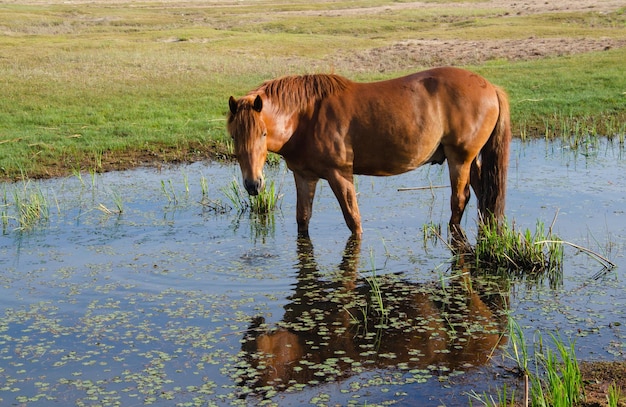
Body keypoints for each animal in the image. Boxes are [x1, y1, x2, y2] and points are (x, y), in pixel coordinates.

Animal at [227, 66, 510, 239]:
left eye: (263, 134)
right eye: (234, 136)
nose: (253, 184)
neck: (306, 117)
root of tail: (490, 87)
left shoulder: (340, 175)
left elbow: (353, 220)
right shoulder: (305, 176)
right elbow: (303, 219)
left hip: (459, 159)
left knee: (460, 199)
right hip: (469, 161)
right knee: (484, 195)